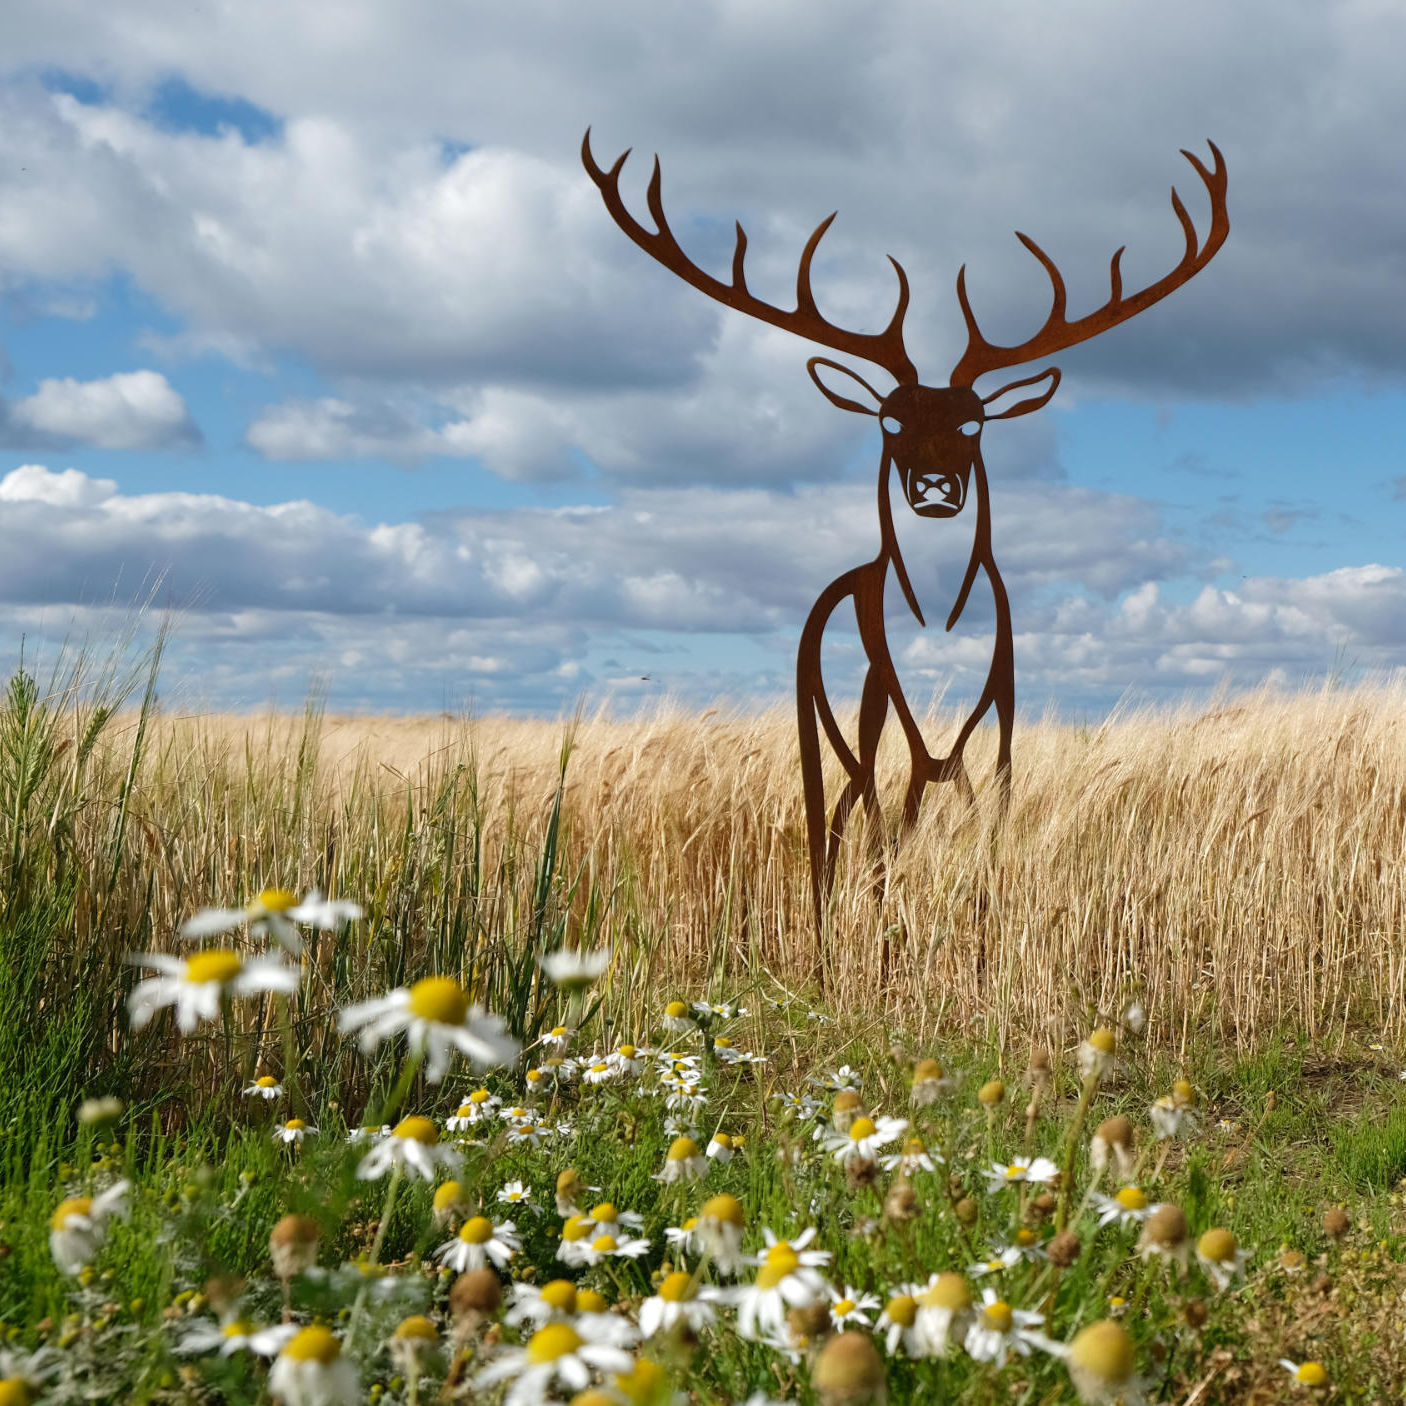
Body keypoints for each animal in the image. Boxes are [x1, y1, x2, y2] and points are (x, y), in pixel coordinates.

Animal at [582, 131, 1229, 933]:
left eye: (974, 422)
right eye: (891, 420)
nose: (934, 488)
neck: (937, 632)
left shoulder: (994, 723)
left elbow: (983, 838)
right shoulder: (881, 721)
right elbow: (883, 847)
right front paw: (885, 938)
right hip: (826, 727)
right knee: (832, 823)